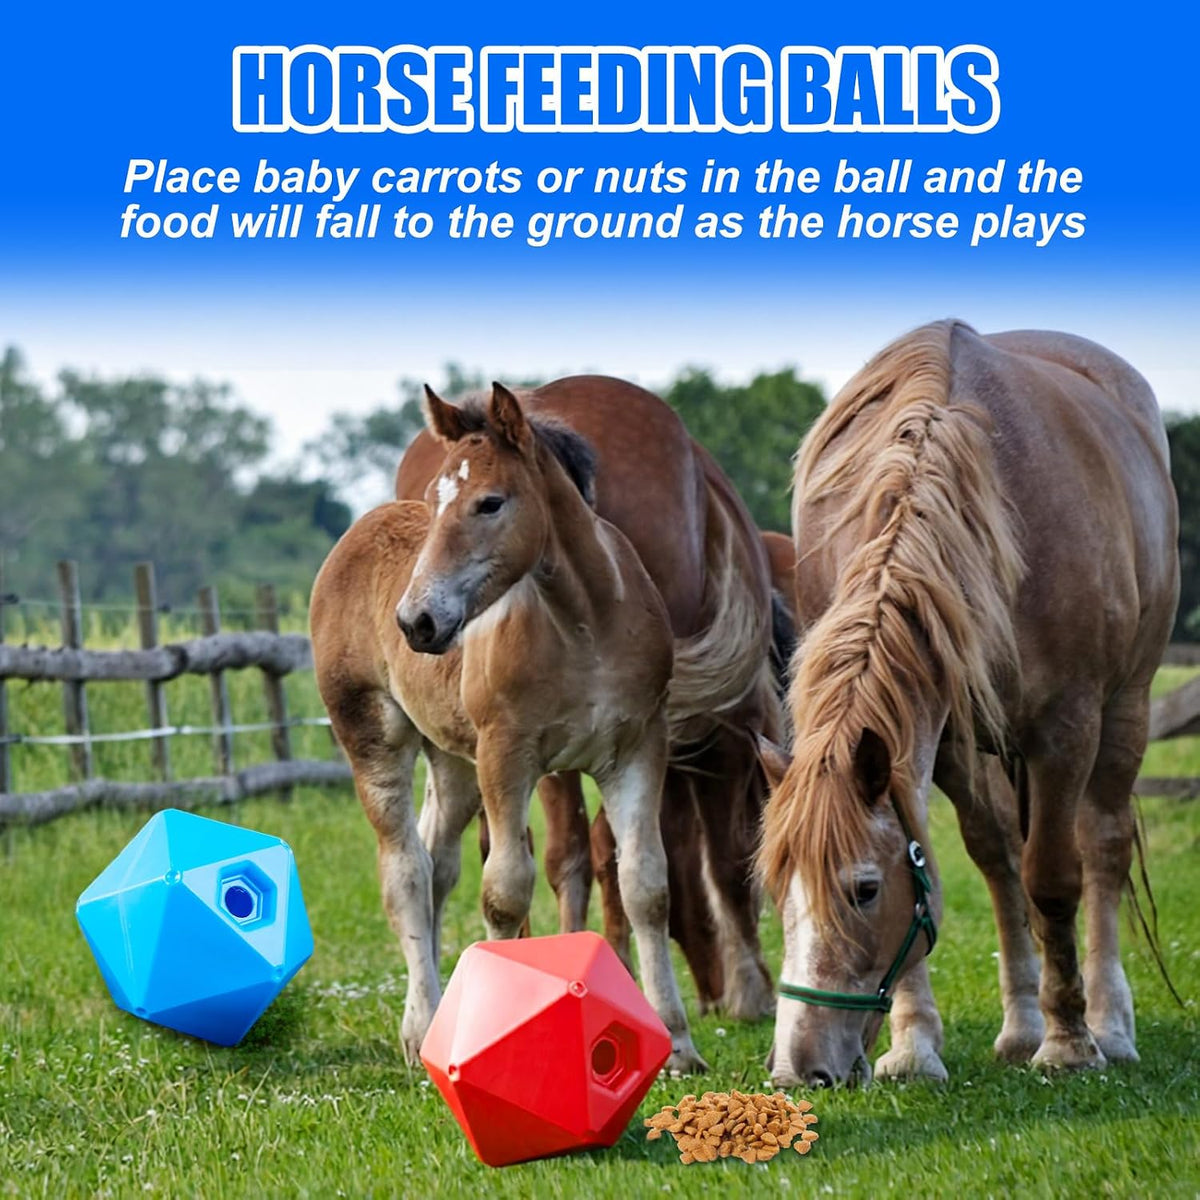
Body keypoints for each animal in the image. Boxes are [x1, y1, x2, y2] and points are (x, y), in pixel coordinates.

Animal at [311, 383, 704, 1073]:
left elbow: (647, 887)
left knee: (436, 861)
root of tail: (357, 533)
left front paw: (678, 1044)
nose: (416, 622)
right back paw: (421, 1028)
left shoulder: (638, 750)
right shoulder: (507, 756)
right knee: (406, 871)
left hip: (453, 762)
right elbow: (505, 894)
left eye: (490, 502)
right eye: (436, 499)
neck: (585, 624)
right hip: (373, 736)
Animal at [395, 376, 779, 1021]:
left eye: (490, 503)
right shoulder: (720, 737)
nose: (416, 620)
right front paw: (751, 989)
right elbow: (725, 855)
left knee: (531, 851)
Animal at [758, 320, 1179, 1087]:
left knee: (1101, 848)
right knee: (1000, 859)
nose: (798, 1069)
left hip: (1127, 707)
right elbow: (959, 858)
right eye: (778, 893)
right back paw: (1021, 1026)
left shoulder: (1066, 729)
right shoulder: (943, 738)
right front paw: (917, 1044)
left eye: (864, 889)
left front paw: (1069, 1041)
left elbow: (1054, 879)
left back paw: (1108, 1023)